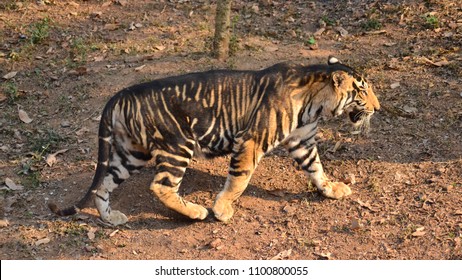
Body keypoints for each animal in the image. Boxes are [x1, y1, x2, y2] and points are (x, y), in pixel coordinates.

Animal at [47, 57, 378, 225]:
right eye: (362, 91)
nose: (377, 107)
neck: (315, 104)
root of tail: (122, 93)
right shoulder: (251, 141)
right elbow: (239, 180)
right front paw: (221, 210)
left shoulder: (303, 141)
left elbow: (317, 169)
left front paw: (332, 189)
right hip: (178, 145)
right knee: (161, 186)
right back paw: (196, 211)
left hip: (131, 154)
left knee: (103, 185)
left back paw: (110, 218)